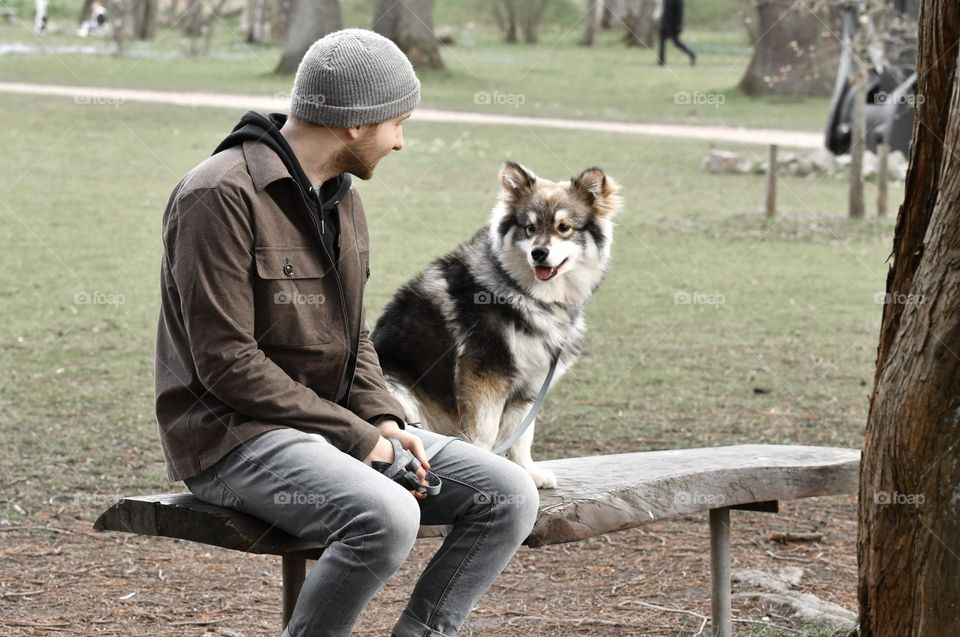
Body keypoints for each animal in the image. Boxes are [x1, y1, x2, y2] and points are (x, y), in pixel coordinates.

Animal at [368, 160, 624, 486]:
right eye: (529, 228)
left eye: (564, 228)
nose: (539, 253)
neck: (527, 294)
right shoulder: (485, 373)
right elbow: (485, 432)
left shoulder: (529, 383)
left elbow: (521, 437)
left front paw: (529, 473)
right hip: (398, 390)